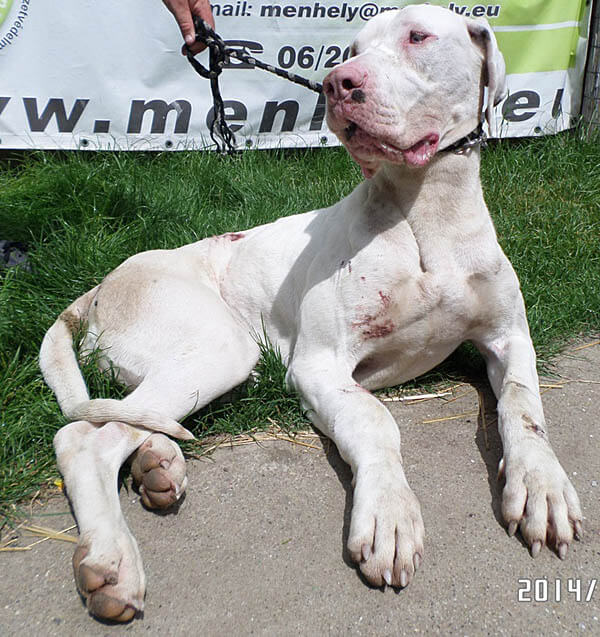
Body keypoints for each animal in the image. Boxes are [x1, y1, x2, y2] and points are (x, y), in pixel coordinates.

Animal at [40, 5, 582, 622]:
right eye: (351, 50)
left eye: (418, 36)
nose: (337, 83)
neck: (428, 209)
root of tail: (98, 287)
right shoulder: (319, 364)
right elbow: (375, 420)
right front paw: (389, 513)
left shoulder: (510, 338)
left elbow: (523, 404)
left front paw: (543, 486)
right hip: (221, 348)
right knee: (84, 439)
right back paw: (111, 562)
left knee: (135, 419)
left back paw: (158, 464)